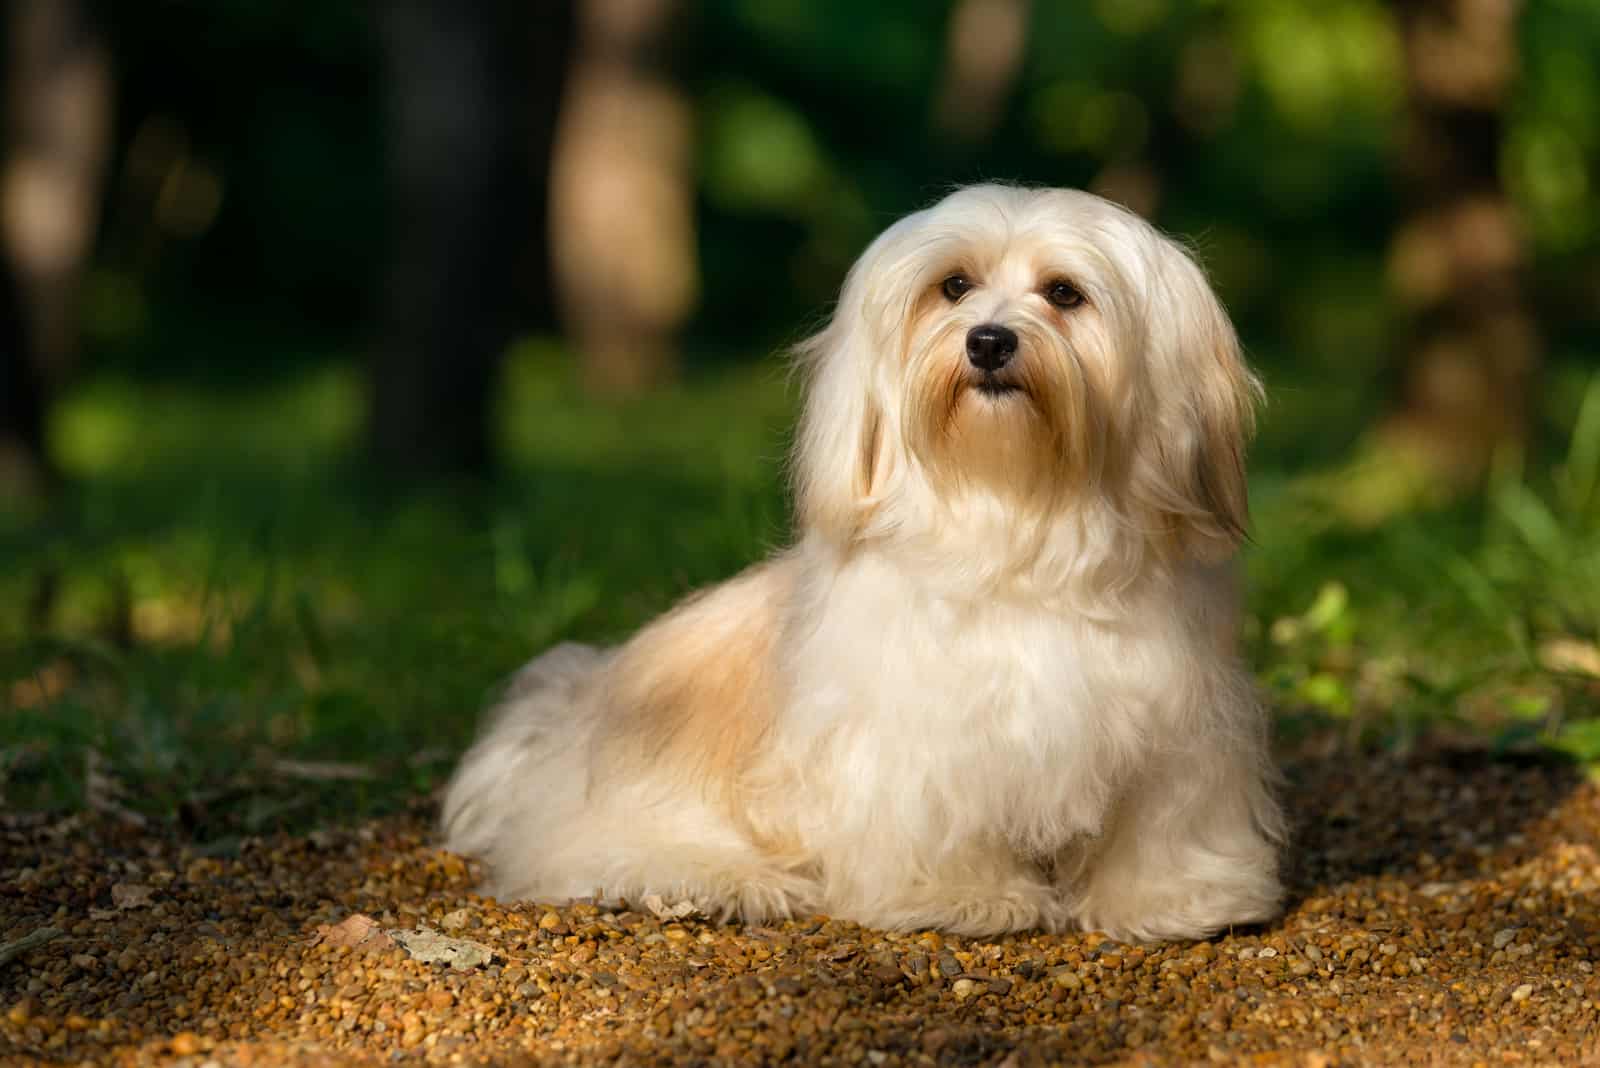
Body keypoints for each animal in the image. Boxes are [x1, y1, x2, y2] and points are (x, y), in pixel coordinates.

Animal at [441, 185, 1286, 940]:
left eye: (1065, 294)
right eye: (953, 286)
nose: (988, 341)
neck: (1016, 512)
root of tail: (567, 716)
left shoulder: (1178, 725)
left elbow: (1160, 822)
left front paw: (1170, 902)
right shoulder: (915, 734)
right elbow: (937, 815)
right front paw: (961, 898)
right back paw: (724, 882)